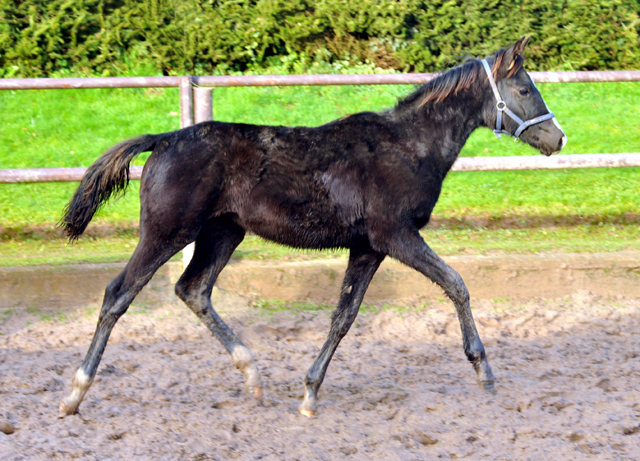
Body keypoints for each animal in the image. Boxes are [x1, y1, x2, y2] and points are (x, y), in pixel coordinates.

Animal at [56, 37, 564, 416]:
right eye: (523, 89)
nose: (557, 138)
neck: (407, 146)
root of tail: (162, 139)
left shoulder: (368, 247)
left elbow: (344, 315)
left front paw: (309, 392)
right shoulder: (396, 235)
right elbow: (456, 284)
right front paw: (484, 370)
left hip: (223, 232)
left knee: (193, 289)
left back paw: (253, 376)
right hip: (167, 232)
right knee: (118, 294)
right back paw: (75, 394)